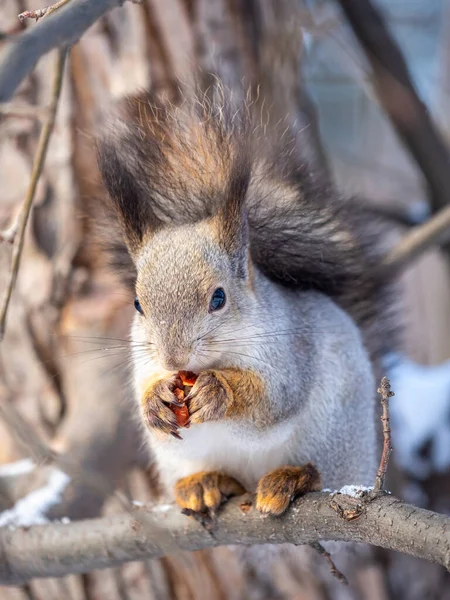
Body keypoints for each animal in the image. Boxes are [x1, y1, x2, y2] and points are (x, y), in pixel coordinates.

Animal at [95, 88, 390, 516]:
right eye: (137, 304)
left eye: (219, 298)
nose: (173, 358)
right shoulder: (142, 363)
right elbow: (145, 401)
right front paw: (154, 401)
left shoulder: (289, 352)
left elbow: (271, 400)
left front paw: (219, 392)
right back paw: (203, 483)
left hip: (335, 439)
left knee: (321, 472)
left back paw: (294, 478)